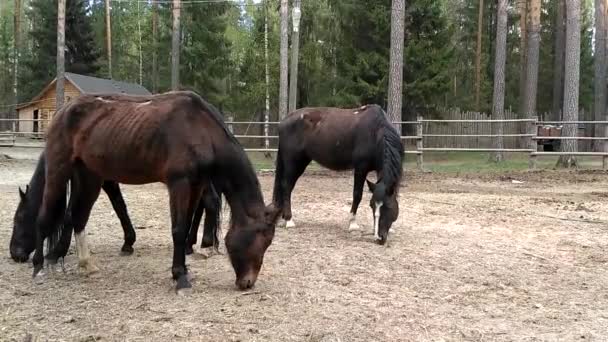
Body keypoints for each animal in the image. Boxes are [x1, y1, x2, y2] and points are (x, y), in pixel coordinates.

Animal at [9, 148, 224, 264]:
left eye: (19, 218)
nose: (14, 253)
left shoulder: (97, 179)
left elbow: (74, 212)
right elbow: (119, 205)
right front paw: (128, 242)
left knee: (210, 202)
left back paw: (205, 243)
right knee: (201, 206)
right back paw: (191, 243)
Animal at [274, 103, 402, 243]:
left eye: (388, 207)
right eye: (372, 205)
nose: (378, 237)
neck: (377, 132)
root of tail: (284, 121)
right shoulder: (361, 168)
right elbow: (357, 195)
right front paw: (352, 224)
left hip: (301, 161)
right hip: (293, 162)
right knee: (286, 186)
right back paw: (289, 221)